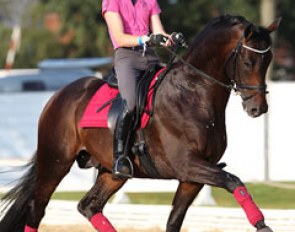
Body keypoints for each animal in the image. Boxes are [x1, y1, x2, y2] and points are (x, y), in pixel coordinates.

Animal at [0, 14, 280, 232]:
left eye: (268, 61)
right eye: (248, 62)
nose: (258, 108)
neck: (192, 92)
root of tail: (59, 96)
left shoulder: (193, 177)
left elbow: (174, 221)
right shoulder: (188, 165)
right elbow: (234, 181)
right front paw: (262, 225)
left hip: (112, 172)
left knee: (89, 206)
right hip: (55, 162)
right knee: (37, 210)